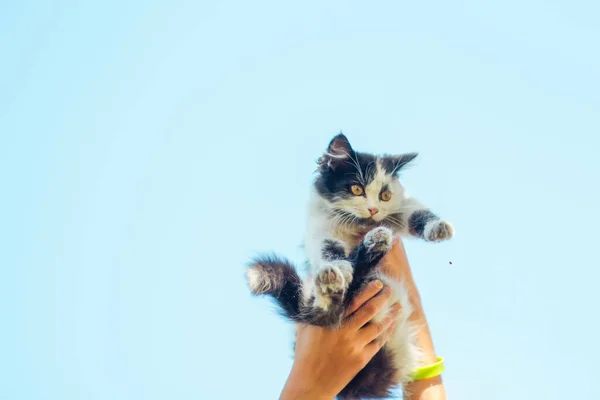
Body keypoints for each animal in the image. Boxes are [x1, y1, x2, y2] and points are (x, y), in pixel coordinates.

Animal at [246, 134, 452, 400]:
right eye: (356, 189)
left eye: (385, 196)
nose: (373, 209)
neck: (358, 224)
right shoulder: (320, 229)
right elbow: (329, 249)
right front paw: (338, 267)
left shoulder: (399, 209)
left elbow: (416, 212)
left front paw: (438, 227)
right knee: (327, 312)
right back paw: (335, 280)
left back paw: (375, 243)